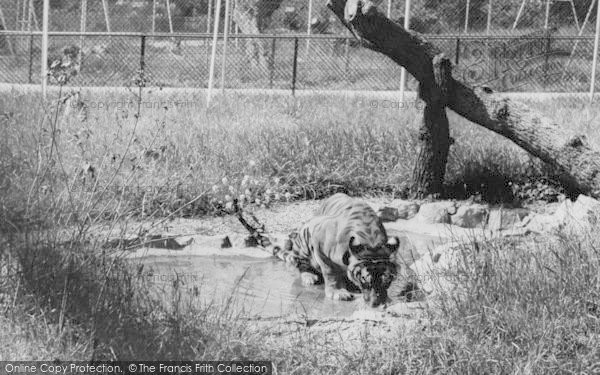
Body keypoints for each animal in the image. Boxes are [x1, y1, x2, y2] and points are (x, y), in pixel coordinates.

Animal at [270, 194, 400, 308]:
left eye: (387, 281)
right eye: (364, 279)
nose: (377, 304)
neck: (370, 241)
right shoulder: (320, 246)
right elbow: (331, 272)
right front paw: (338, 292)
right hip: (303, 238)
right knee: (301, 264)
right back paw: (309, 276)